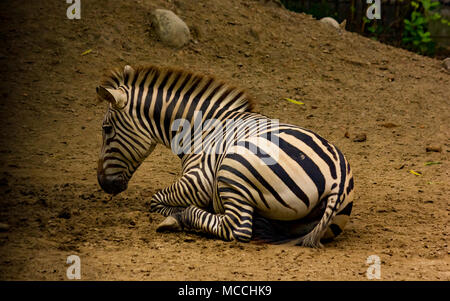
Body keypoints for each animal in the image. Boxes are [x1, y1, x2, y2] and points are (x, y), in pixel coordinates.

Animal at [96, 64, 356, 245]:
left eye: (106, 129)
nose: (103, 184)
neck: (201, 128)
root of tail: (339, 178)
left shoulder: (198, 181)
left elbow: (156, 199)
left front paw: (176, 213)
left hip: (233, 167)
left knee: (237, 227)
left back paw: (180, 219)